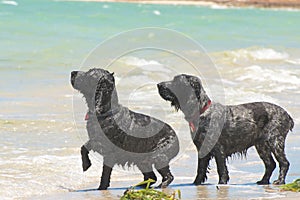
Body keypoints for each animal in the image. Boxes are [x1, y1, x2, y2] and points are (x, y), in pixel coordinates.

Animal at [158, 74, 294, 185]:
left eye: (176, 81)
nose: (159, 84)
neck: (202, 112)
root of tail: (287, 115)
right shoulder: (202, 149)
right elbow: (200, 169)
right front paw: (196, 183)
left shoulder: (219, 149)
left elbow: (221, 169)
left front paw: (222, 183)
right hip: (261, 145)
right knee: (270, 164)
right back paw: (263, 181)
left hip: (275, 141)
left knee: (284, 163)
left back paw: (280, 181)